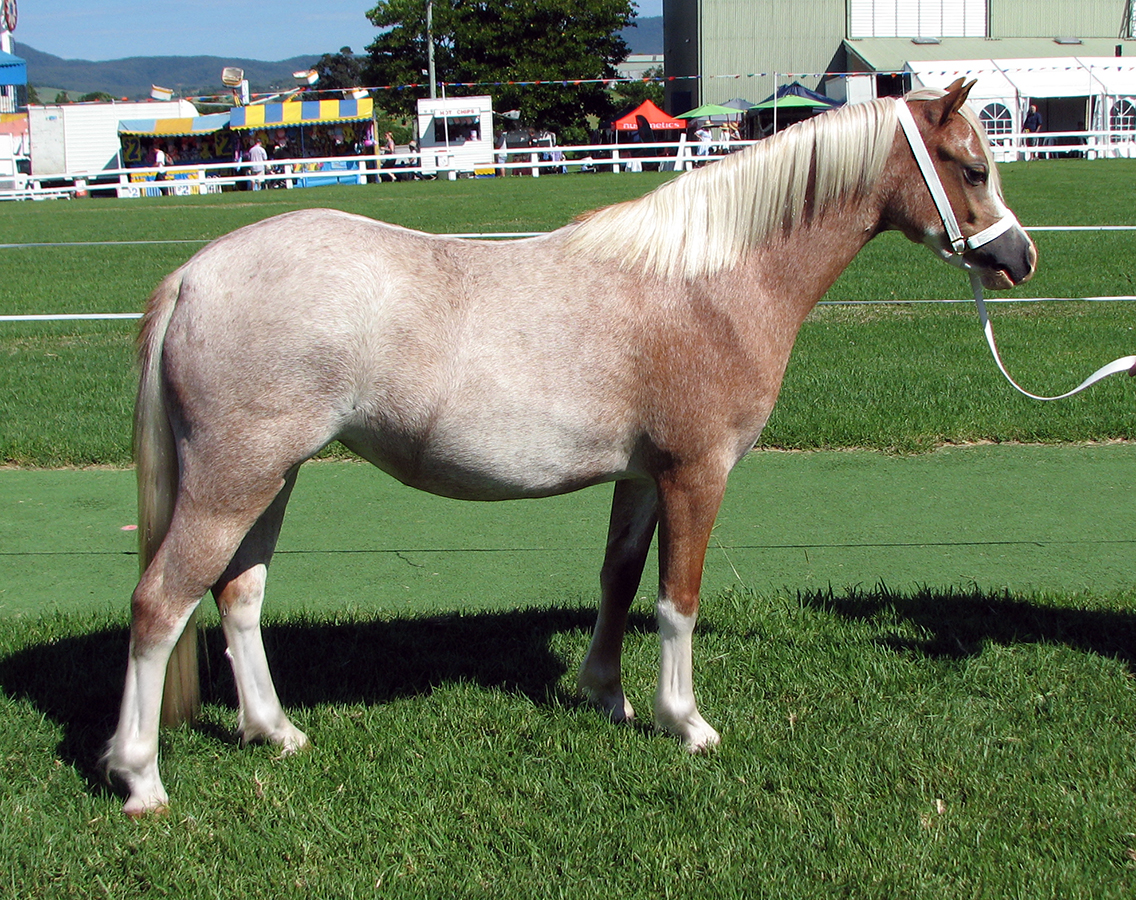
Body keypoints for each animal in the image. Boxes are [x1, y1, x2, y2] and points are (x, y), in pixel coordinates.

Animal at [105, 79, 1036, 815]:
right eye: (972, 167)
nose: (1020, 257)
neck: (711, 283)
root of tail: (195, 275)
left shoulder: (642, 477)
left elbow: (618, 580)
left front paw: (608, 696)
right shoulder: (698, 474)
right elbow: (677, 597)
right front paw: (685, 722)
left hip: (272, 477)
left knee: (238, 597)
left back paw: (275, 732)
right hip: (235, 479)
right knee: (159, 604)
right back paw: (141, 779)